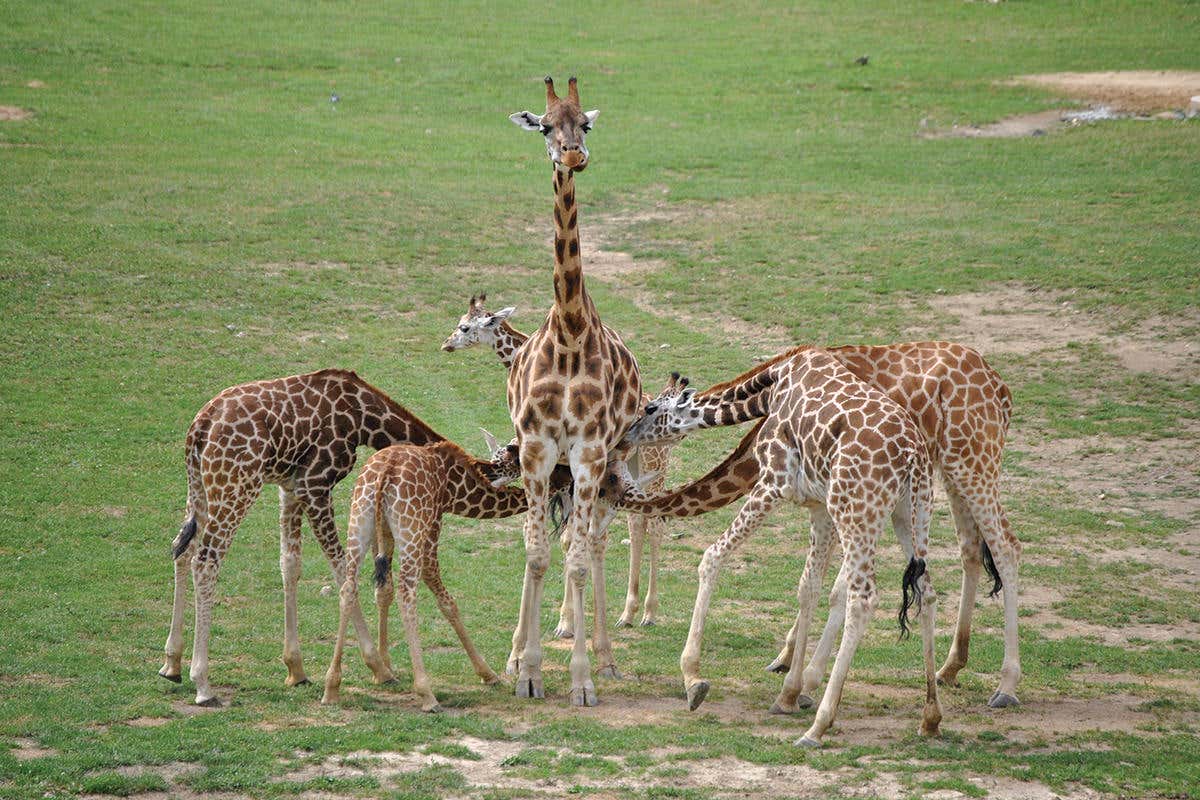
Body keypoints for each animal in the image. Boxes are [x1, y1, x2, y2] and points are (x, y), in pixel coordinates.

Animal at [162, 368, 444, 706]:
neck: (363, 417)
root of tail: (199, 427)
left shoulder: (290, 487)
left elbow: (290, 564)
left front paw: (295, 669)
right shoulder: (315, 485)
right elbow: (342, 570)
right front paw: (378, 666)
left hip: (200, 487)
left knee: (183, 549)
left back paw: (172, 663)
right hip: (236, 485)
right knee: (205, 562)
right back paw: (202, 683)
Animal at [321, 436, 572, 712]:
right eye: (558, 468)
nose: (570, 477)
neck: (455, 487)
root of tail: (383, 475)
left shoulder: (384, 531)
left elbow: (383, 591)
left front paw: (384, 668)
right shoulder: (433, 523)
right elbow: (448, 602)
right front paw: (487, 673)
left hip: (359, 523)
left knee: (348, 588)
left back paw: (331, 687)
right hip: (410, 530)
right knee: (407, 594)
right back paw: (426, 693)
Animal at [441, 292, 672, 630]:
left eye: (465, 327)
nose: (446, 344)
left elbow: (569, 537)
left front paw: (566, 622)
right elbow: (561, 537)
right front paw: (566, 620)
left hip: (656, 466)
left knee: (654, 524)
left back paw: (650, 613)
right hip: (632, 467)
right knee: (636, 523)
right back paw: (627, 613)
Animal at [629, 341, 1023, 710]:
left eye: (650, 408)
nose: (628, 432)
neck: (771, 386)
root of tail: (1002, 389)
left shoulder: (782, 485)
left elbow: (717, 557)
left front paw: (702, 674)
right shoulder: (827, 500)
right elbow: (819, 587)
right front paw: (796, 674)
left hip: (972, 464)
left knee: (1006, 547)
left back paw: (1005, 685)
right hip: (941, 480)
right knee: (966, 553)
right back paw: (947, 672)